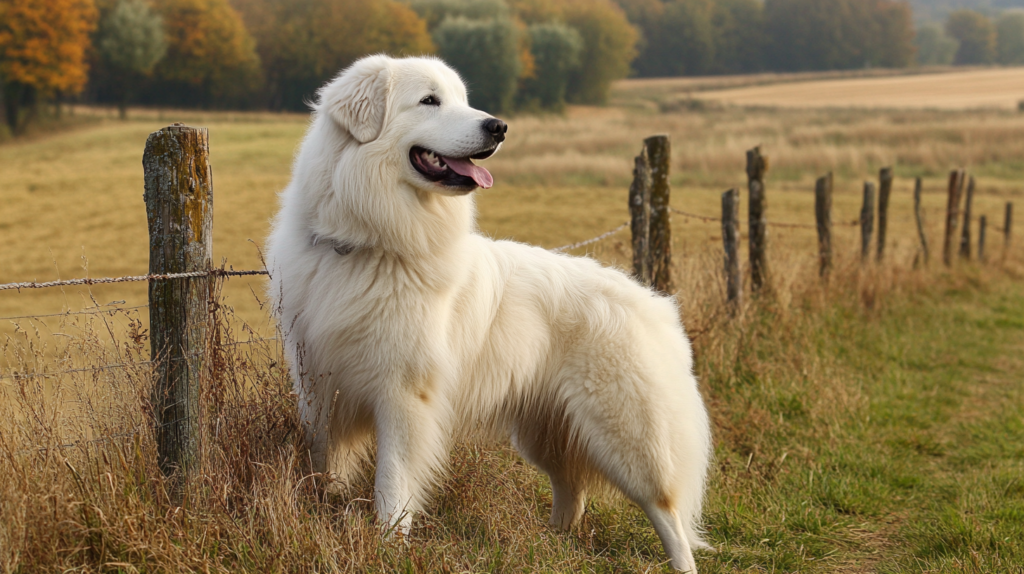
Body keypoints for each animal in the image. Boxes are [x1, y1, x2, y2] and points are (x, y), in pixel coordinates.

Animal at [264, 54, 712, 572]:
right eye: (430, 100)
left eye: (462, 100)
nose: (498, 127)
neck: (364, 243)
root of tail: (657, 305)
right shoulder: (318, 387)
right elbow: (325, 464)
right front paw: (326, 511)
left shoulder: (403, 396)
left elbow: (392, 479)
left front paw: (389, 545)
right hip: (545, 435)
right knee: (573, 490)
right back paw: (552, 542)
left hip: (628, 442)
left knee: (667, 514)